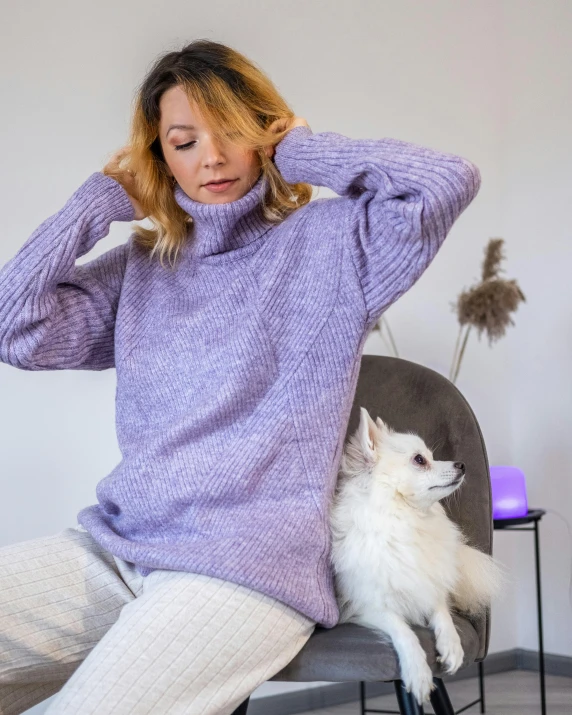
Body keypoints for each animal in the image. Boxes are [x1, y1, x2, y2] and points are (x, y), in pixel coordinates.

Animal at [328, 408, 502, 704]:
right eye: (420, 460)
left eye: (431, 456)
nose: (462, 465)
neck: (409, 521)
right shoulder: (368, 606)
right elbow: (404, 631)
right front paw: (418, 673)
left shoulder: (427, 583)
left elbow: (441, 610)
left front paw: (451, 645)